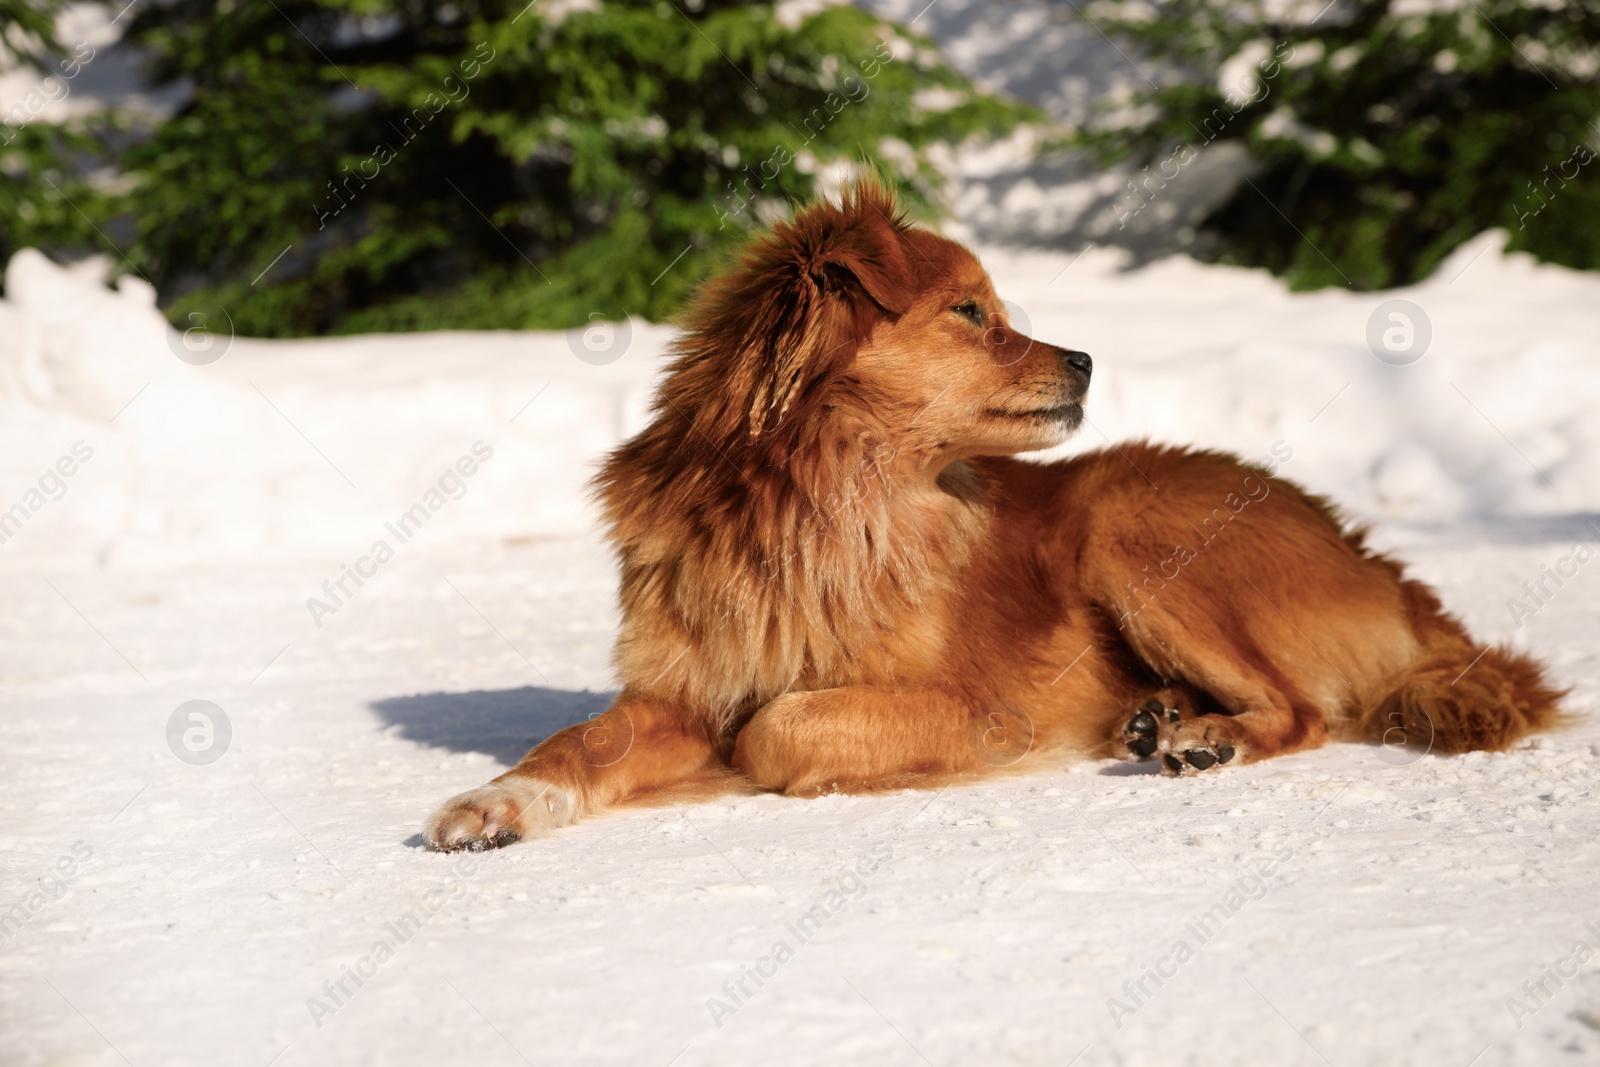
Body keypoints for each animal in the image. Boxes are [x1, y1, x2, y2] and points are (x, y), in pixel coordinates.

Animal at [422, 181, 1561, 851]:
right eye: (972, 313)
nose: (1088, 357)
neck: (818, 499)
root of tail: (1381, 563)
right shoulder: (679, 686)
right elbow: (576, 741)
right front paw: (496, 800)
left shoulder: (978, 706)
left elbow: (779, 725)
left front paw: (765, 757)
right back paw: (1159, 716)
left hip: (1131, 524)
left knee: (1304, 711)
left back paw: (1202, 737)